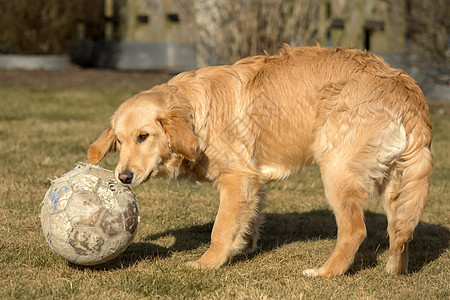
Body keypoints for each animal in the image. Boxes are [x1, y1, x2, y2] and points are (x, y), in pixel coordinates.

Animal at [87, 45, 432, 278]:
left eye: (143, 136)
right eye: (119, 141)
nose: (123, 177)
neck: (196, 112)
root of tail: (404, 87)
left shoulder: (237, 178)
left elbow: (220, 228)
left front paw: (208, 262)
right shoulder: (253, 181)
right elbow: (247, 220)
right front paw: (244, 246)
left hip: (336, 172)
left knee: (355, 230)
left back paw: (326, 272)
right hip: (394, 184)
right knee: (401, 231)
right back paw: (394, 268)